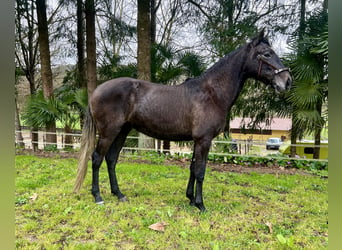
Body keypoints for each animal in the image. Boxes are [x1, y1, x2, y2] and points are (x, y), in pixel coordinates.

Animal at [74, 30, 292, 212]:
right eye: (266, 54)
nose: (287, 81)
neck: (212, 93)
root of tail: (96, 91)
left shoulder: (198, 141)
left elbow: (193, 169)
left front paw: (190, 199)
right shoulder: (204, 140)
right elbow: (201, 171)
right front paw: (201, 205)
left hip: (123, 130)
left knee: (111, 159)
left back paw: (119, 194)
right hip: (109, 131)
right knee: (97, 158)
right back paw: (98, 196)